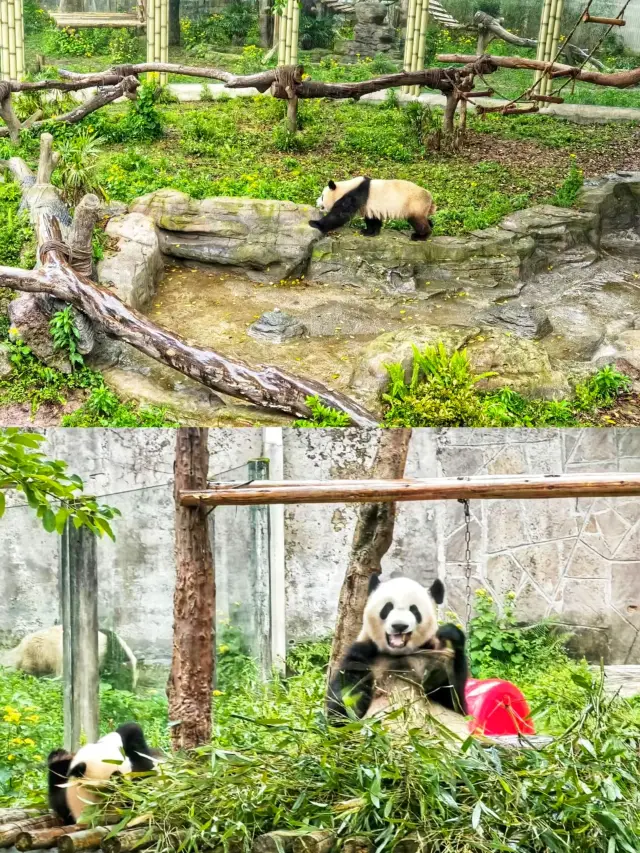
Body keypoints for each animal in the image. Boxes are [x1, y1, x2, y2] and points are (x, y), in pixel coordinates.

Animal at [308, 175, 438, 238]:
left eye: (322, 196)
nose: (316, 202)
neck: (346, 187)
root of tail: (430, 198)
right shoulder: (369, 205)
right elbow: (372, 218)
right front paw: (369, 232)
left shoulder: (355, 194)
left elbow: (340, 215)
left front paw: (314, 223)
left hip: (414, 203)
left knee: (417, 221)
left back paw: (421, 235)